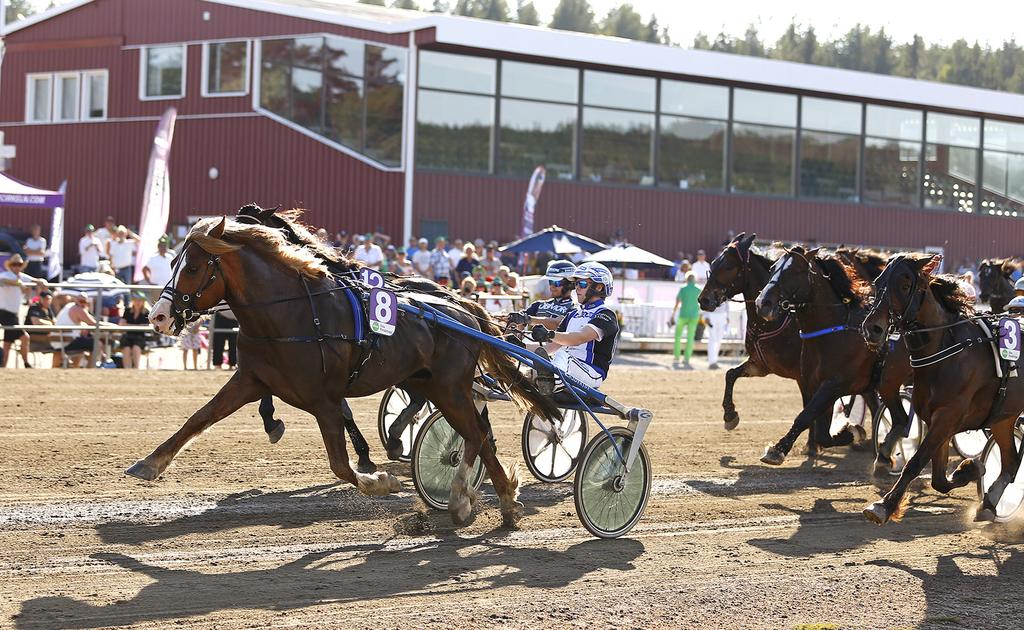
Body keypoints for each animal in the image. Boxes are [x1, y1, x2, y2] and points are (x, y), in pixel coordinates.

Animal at [134, 219, 561, 524]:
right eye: (171, 263)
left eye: (191, 267)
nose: (158, 317)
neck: (291, 315)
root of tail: (463, 309)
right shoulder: (250, 379)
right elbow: (199, 418)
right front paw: (150, 463)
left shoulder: (324, 399)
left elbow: (340, 464)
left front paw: (381, 481)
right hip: (434, 385)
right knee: (477, 434)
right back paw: (487, 500)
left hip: (450, 387)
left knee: (476, 433)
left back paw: (471, 496)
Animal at [753, 246, 913, 469]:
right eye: (772, 268)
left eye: (795, 271)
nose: (763, 303)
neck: (834, 331)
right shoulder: (814, 384)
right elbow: (821, 432)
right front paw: (853, 432)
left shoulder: (834, 384)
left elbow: (805, 416)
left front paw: (777, 450)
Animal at [860, 254, 1019, 524]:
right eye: (878, 281)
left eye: (905, 284)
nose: (873, 328)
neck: (948, 350)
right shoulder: (939, 420)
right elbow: (939, 479)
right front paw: (972, 468)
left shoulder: (947, 416)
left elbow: (915, 463)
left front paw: (883, 506)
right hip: (1003, 417)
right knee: (1011, 463)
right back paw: (989, 503)